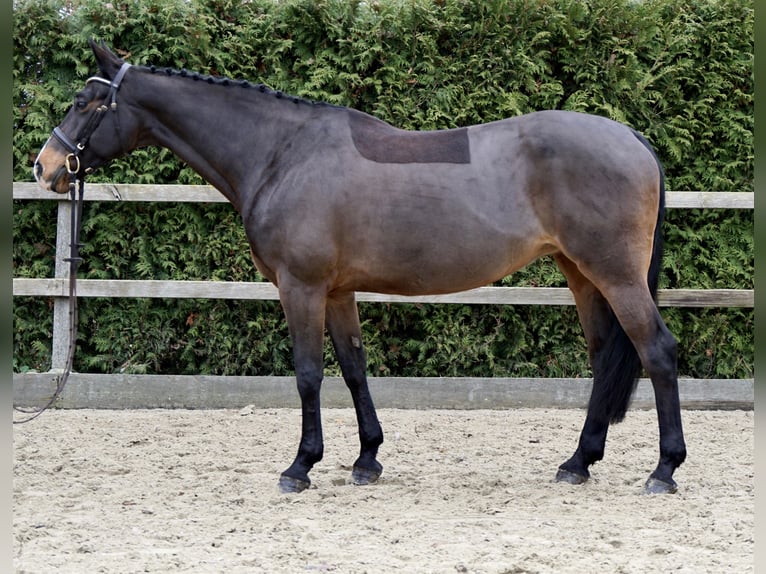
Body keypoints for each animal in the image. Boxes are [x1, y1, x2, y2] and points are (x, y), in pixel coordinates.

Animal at [34, 41, 686, 495]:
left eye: (85, 102)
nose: (46, 167)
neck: (283, 154)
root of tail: (631, 137)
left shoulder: (300, 288)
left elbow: (307, 374)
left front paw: (300, 466)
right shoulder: (337, 292)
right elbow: (352, 370)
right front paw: (367, 458)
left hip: (614, 274)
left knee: (656, 350)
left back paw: (664, 469)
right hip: (581, 272)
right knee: (604, 358)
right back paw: (578, 462)